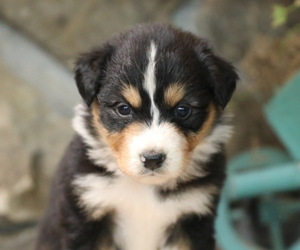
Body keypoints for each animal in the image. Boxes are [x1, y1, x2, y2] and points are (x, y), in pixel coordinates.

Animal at [36, 23, 238, 250]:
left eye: (183, 109)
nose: (152, 159)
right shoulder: (86, 213)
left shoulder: (194, 219)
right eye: (123, 109)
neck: (144, 188)